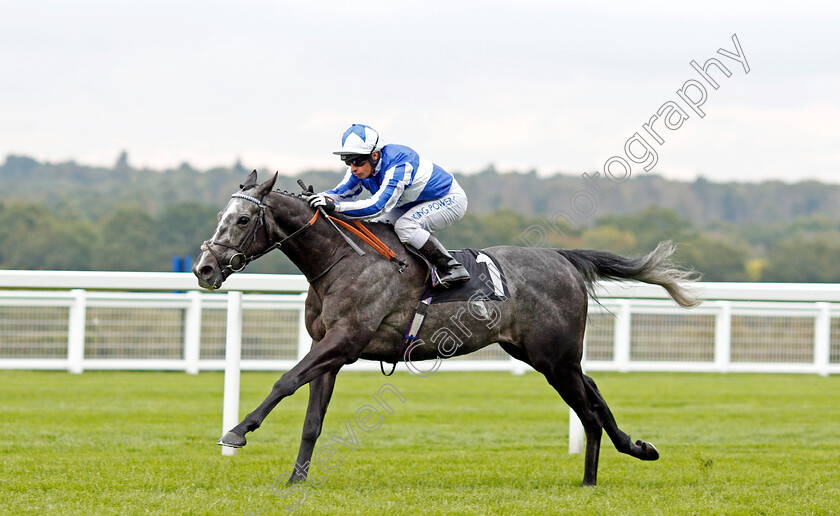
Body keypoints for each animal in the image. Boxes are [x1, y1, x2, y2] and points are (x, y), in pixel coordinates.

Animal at [194, 171, 700, 486]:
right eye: (220, 217)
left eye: (243, 219)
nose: (204, 268)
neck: (340, 261)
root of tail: (564, 257)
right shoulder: (329, 349)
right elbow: (312, 420)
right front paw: (296, 479)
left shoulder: (344, 340)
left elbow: (284, 382)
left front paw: (236, 432)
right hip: (540, 354)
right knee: (593, 392)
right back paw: (635, 448)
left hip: (553, 358)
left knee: (588, 408)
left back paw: (592, 479)